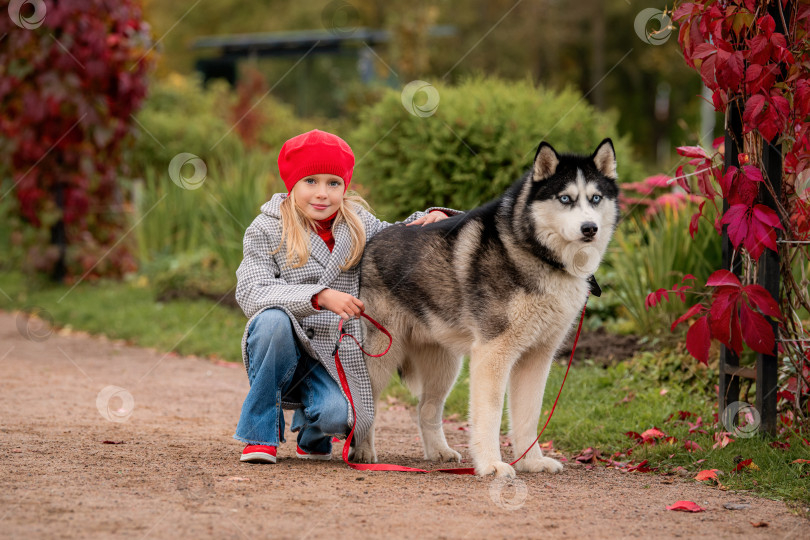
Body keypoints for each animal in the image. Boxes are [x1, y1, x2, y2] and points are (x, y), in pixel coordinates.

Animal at [354, 139, 620, 476]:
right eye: (565, 199)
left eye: (595, 198)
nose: (590, 228)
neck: (537, 254)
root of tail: (374, 239)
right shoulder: (492, 353)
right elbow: (490, 415)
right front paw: (492, 464)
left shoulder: (537, 357)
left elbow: (529, 415)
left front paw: (531, 461)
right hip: (382, 355)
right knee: (367, 403)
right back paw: (363, 452)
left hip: (445, 365)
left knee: (426, 408)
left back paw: (439, 451)